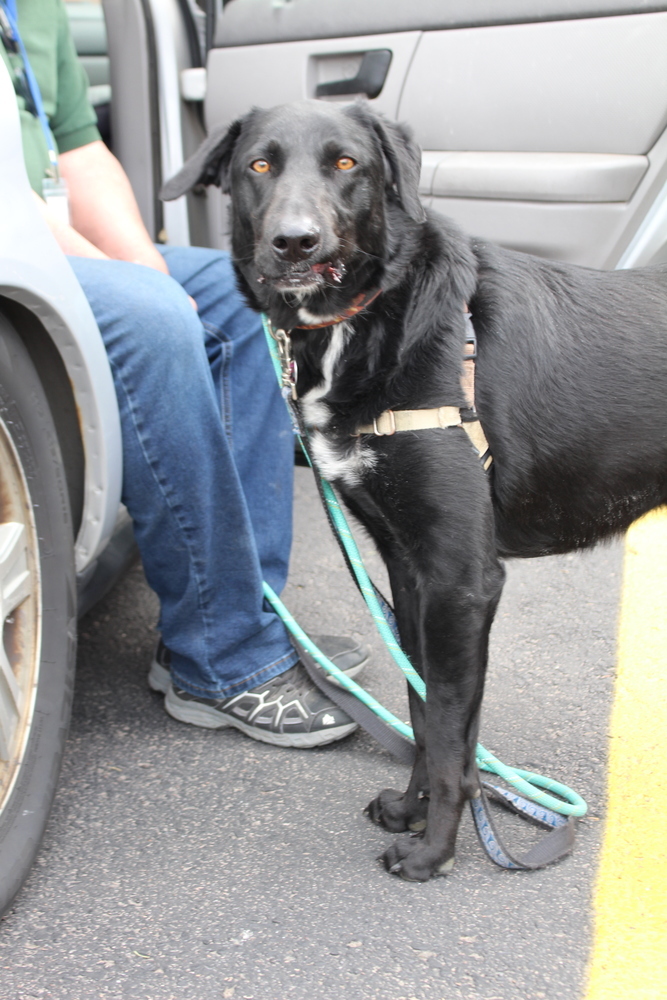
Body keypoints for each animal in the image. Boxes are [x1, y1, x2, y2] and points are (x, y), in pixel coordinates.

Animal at [164, 103, 667, 884]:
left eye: (346, 164)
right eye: (259, 165)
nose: (294, 240)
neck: (365, 324)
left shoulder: (461, 580)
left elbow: (454, 732)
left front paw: (434, 850)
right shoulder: (409, 572)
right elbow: (428, 711)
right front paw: (412, 807)